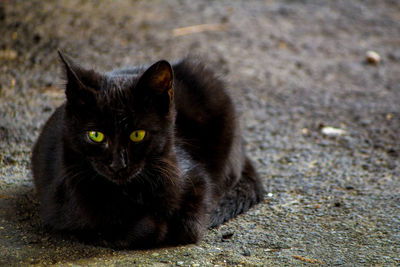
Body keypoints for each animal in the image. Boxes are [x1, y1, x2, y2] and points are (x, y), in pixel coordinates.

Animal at [32, 52, 266, 249]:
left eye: (138, 134)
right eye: (95, 135)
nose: (118, 164)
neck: (133, 190)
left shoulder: (195, 177)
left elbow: (191, 224)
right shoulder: (63, 213)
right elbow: (118, 229)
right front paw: (157, 224)